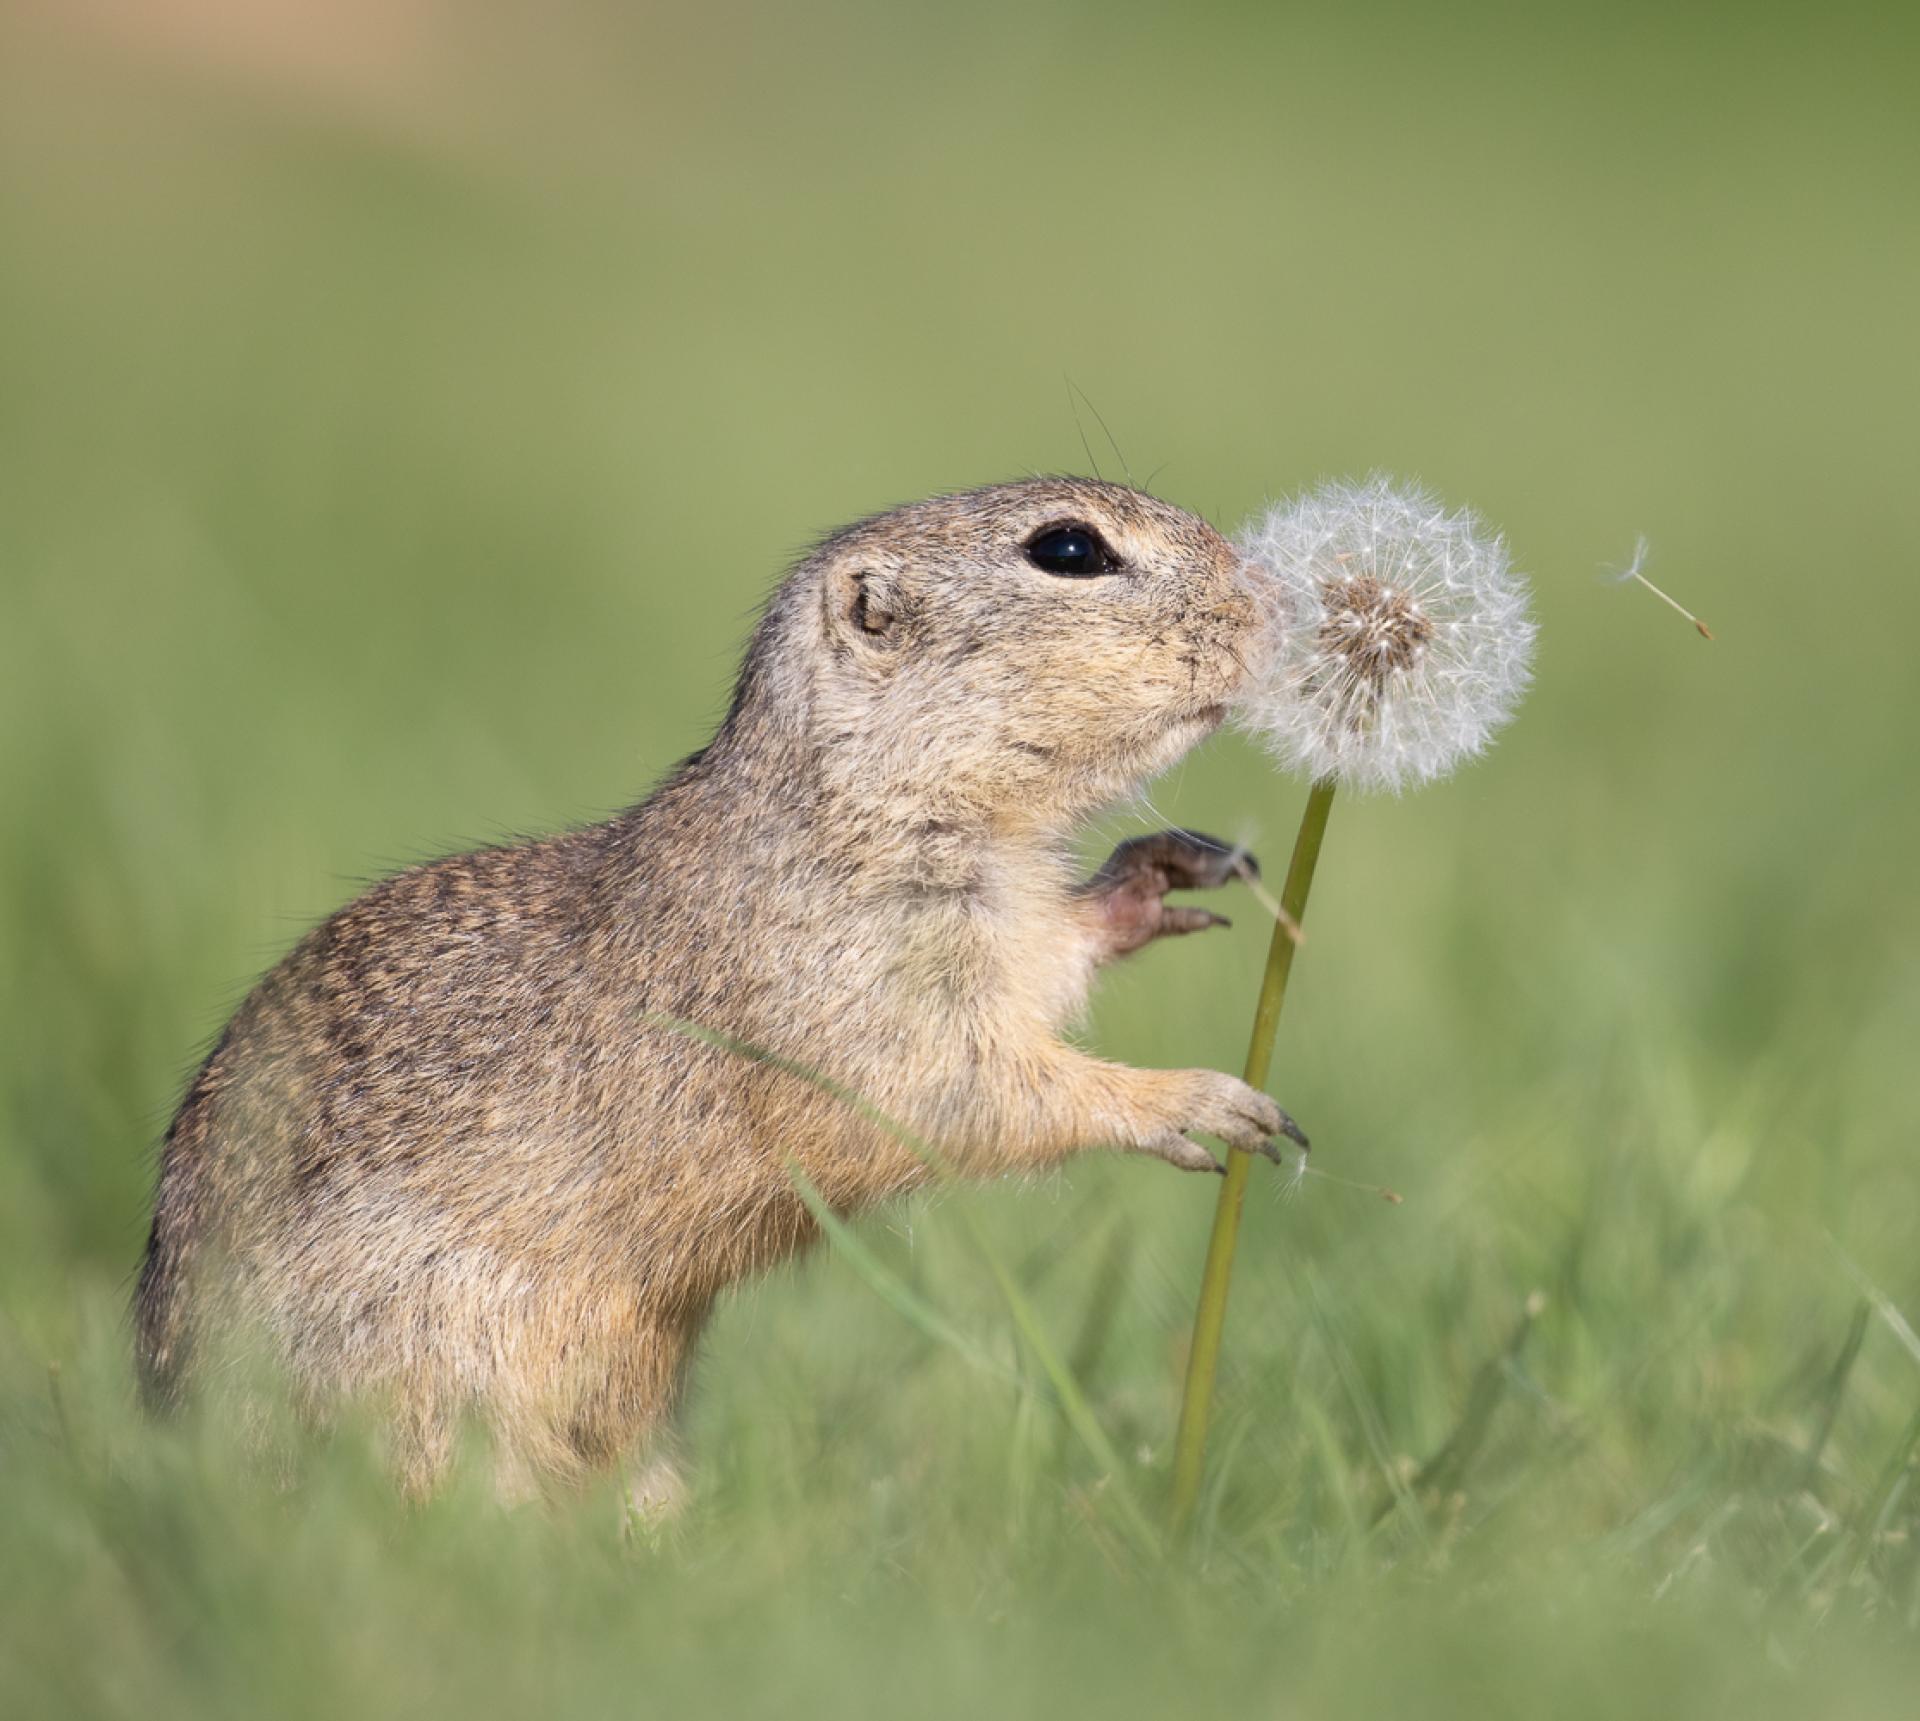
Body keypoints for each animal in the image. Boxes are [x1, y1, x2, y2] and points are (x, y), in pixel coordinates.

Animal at [135, 476, 1305, 1498]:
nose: (1273, 604)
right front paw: (1202, 1100)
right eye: (1069, 550)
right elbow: (965, 1097)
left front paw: (1166, 875)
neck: (858, 803)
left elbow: (1057, 957)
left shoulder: (1001, 938)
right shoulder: (846, 999)